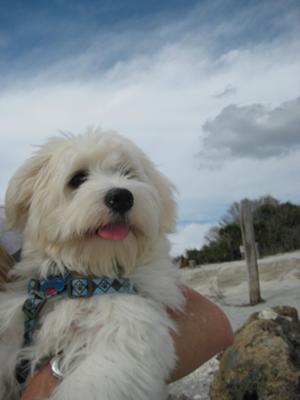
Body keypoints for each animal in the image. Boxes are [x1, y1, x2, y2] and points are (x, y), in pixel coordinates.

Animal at [0, 131, 184, 400]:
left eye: (127, 173)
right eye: (77, 179)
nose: (121, 197)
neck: (83, 280)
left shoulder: (128, 325)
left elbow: (91, 382)